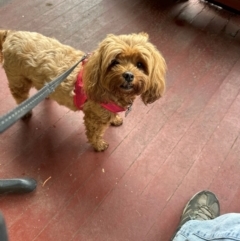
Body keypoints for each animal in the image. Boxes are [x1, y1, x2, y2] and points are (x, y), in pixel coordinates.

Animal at [0, 29, 167, 151]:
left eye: (140, 64)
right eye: (115, 62)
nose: (128, 75)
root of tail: (11, 34)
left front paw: (115, 119)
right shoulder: (94, 119)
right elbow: (95, 134)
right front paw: (99, 145)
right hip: (18, 81)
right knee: (19, 96)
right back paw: (25, 112)